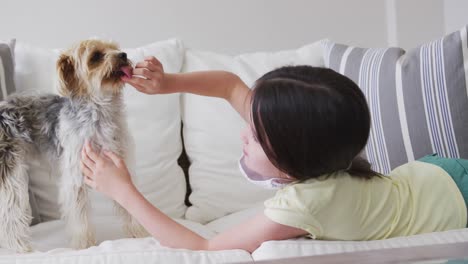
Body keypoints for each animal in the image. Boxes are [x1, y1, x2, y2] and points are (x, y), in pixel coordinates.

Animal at [0, 39, 146, 254]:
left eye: (115, 47)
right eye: (95, 56)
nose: (124, 55)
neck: (101, 113)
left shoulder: (121, 164)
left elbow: (129, 201)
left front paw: (139, 234)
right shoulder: (75, 174)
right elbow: (80, 215)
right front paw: (85, 245)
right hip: (10, 172)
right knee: (10, 212)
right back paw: (19, 246)